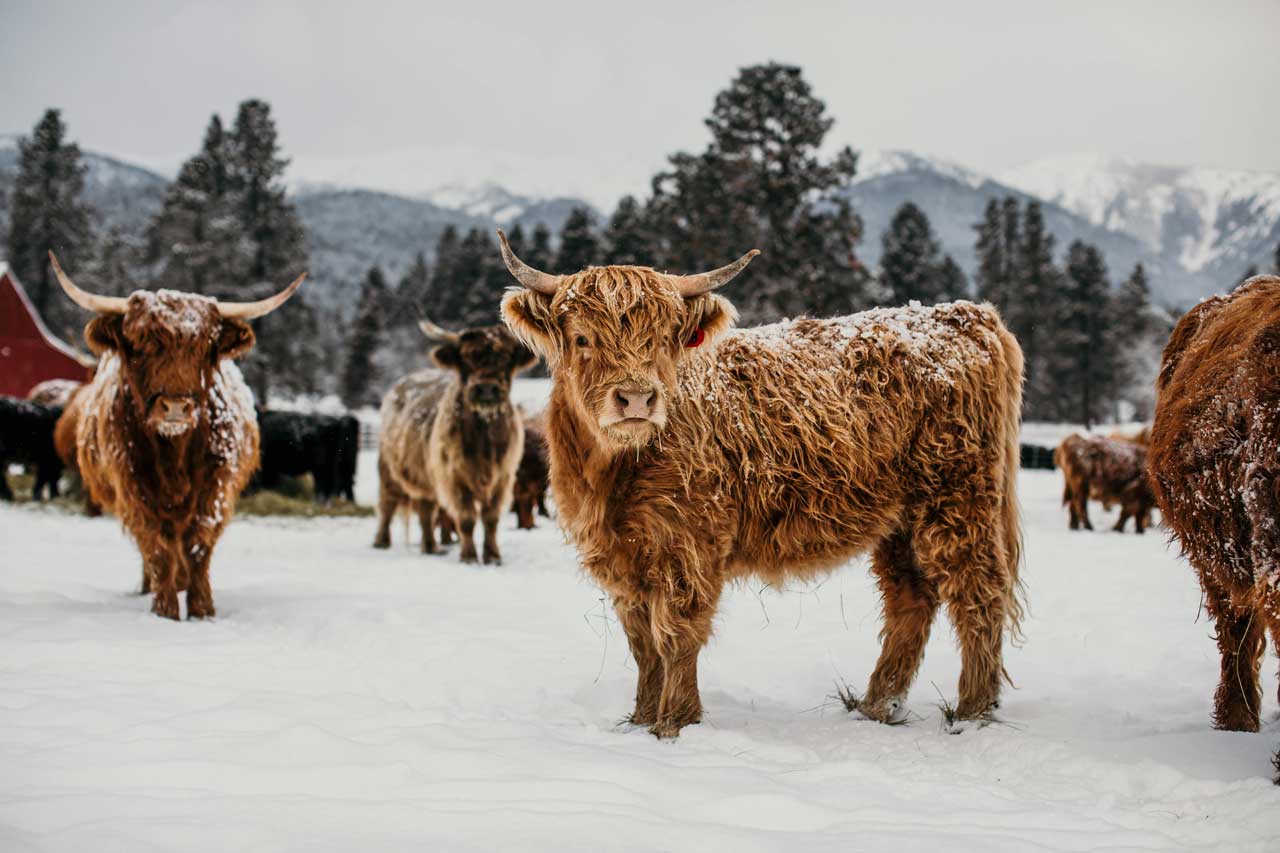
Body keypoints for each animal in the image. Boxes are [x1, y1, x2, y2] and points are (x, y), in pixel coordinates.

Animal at [52, 252, 304, 617]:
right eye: (139, 345)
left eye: (204, 346)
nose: (174, 407)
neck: (174, 451)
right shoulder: (133, 483)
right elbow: (156, 545)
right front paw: (165, 609)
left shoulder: (216, 483)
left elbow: (199, 541)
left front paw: (202, 608)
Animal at [373, 322, 535, 560]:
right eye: (466, 356)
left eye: (506, 356)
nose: (487, 389)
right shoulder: (454, 476)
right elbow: (466, 518)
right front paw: (469, 557)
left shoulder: (502, 478)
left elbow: (491, 518)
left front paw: (493, 556)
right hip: (388, 469)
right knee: (387, 504)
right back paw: (381, 542)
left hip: (425, 475)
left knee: (426, 510)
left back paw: (431, 547)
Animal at [494, 229, 1024, 732]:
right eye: (583, 338)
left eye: (665, 338)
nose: (637, 399)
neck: (613, 473)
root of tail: (963, 314)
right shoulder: (619, 555)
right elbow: (642, 642)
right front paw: (640, 720)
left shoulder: (689, 545)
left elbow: (677, 634)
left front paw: (674, 723)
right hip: (901, 519)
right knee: (911, 597)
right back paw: (877, 706)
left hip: (958, 499)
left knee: (979, 592)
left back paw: (972, 711)